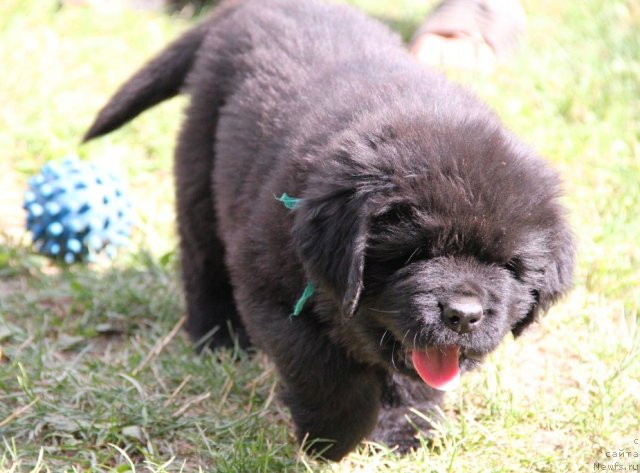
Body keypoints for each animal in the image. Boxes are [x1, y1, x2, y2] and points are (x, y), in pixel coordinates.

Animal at [81, 0, 576, 460]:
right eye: (413, 252)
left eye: (509, 265)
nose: (464, 315)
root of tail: (242, 9)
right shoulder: (272, 291)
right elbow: (324, 371)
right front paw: (331, 440)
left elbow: (414, 375)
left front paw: (403, 429)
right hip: (200, 167)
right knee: (202, 258)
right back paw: (218, 336)